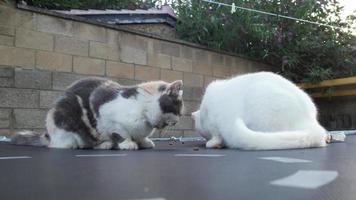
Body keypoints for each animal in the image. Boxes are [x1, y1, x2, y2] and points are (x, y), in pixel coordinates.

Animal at [11, 77, 184, 149]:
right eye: (178, 108)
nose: (178, 120)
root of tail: (48, 134)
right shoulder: (107, 114)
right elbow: (121, 133)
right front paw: (128, 144)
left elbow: (140, 136)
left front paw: (144, 142)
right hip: (66, 124)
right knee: (68, 144)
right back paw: (102, 145)